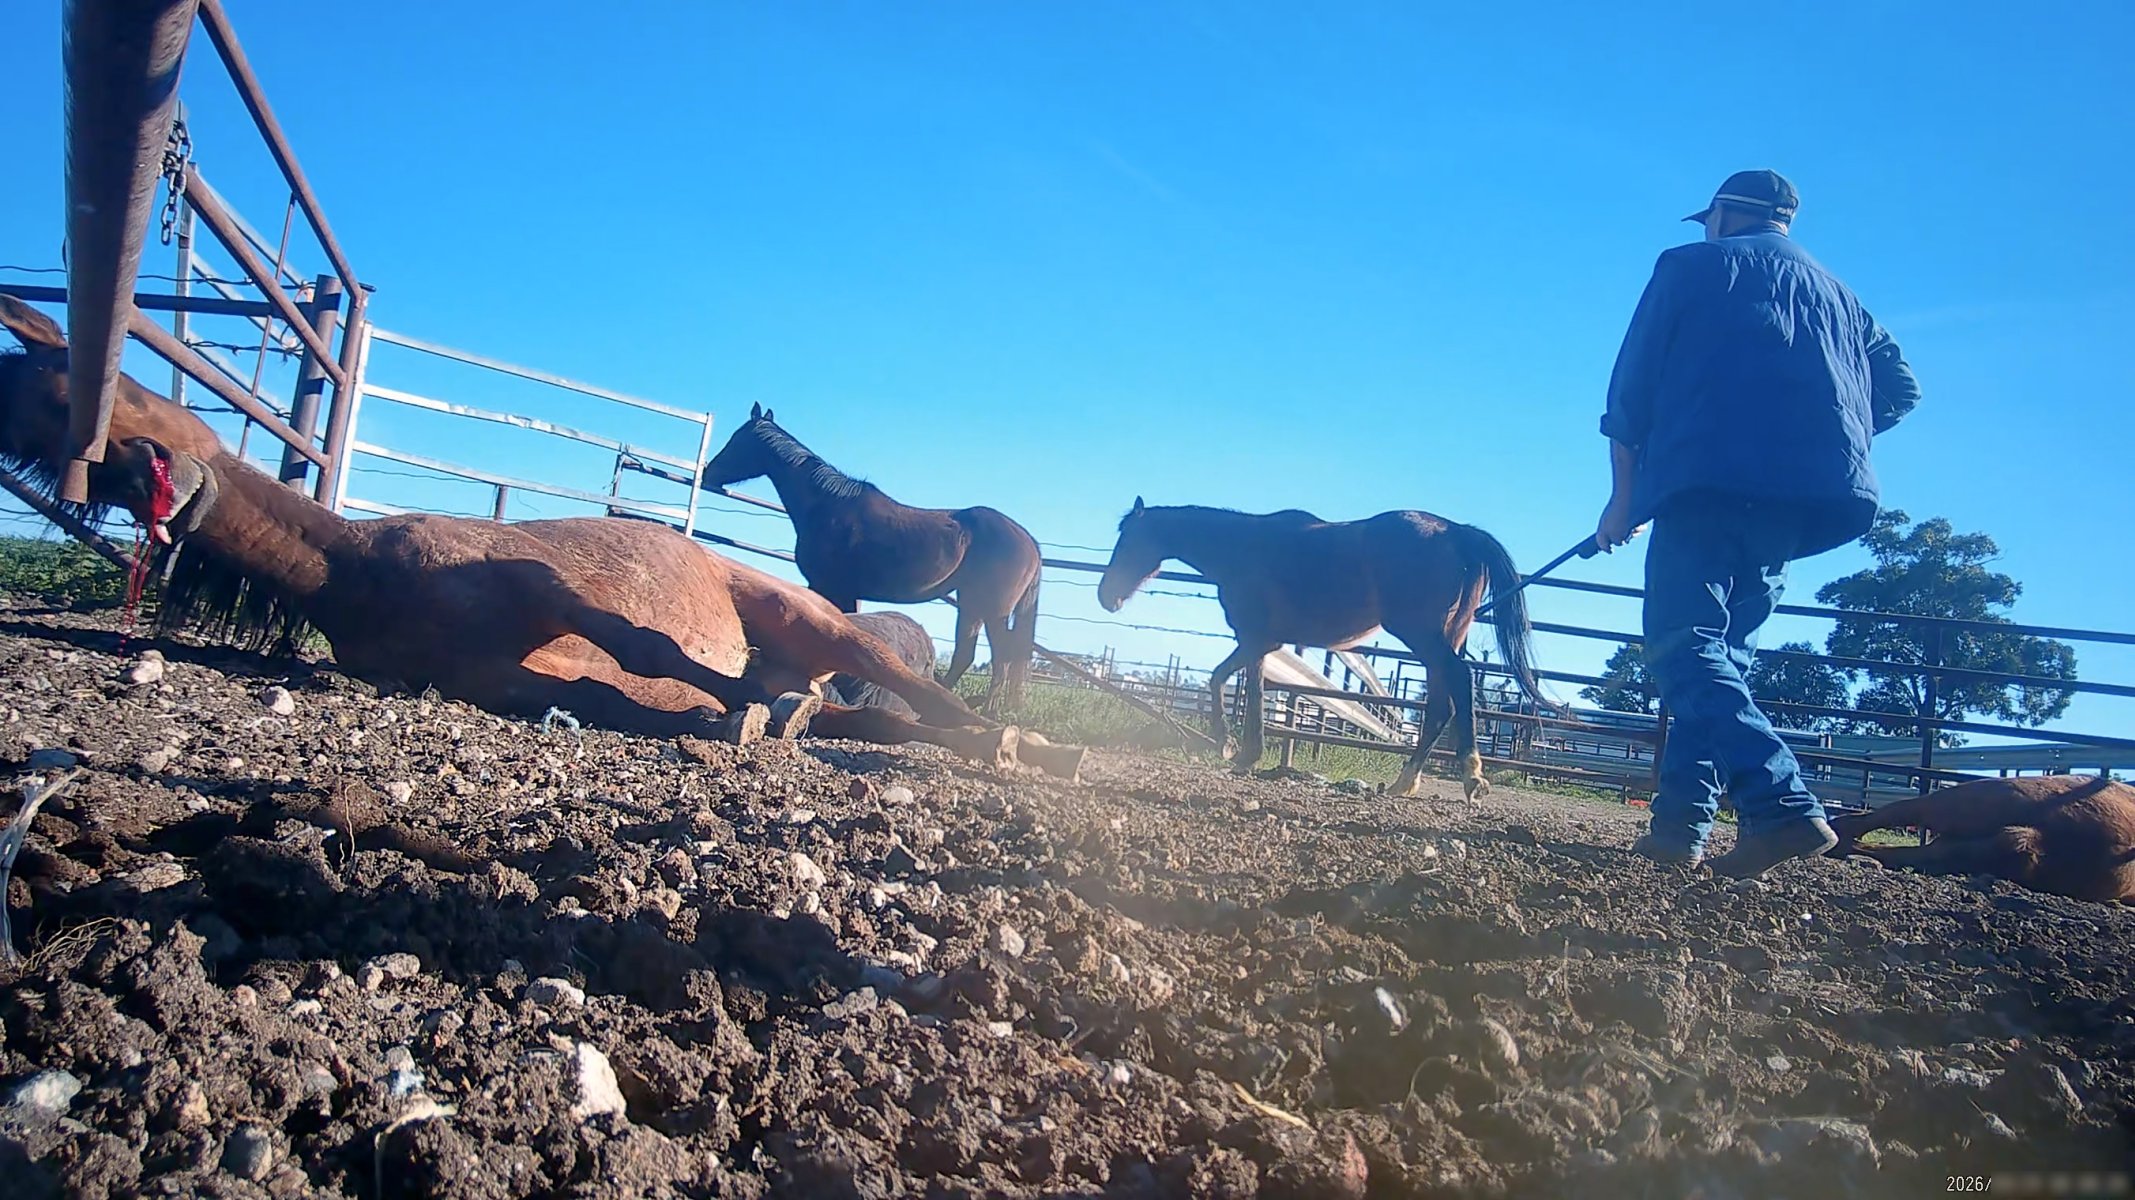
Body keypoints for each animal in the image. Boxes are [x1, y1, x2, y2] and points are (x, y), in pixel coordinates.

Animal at [699, 405, 1043, 713]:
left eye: (739, 440)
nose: (709, 473)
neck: (829, 507)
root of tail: (1030, 543)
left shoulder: (829, 586)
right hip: (972, 606)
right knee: (969, 656)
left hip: (991, 610)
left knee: (1001, 658)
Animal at [1096, 499, 1552, 800]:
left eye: (1128, 540)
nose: (1106, 596)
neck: (1243, 549)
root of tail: (1457, 531)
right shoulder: (1263, 643)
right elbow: (1247, 689)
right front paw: (1243, 752)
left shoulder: (1255, 639)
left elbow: (1225, 682)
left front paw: (1229, 746)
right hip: (1443, 638)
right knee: (1442, 704)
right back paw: (1405, 782)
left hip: (1423, 635)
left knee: (1459, 681)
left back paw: (1471, 777)